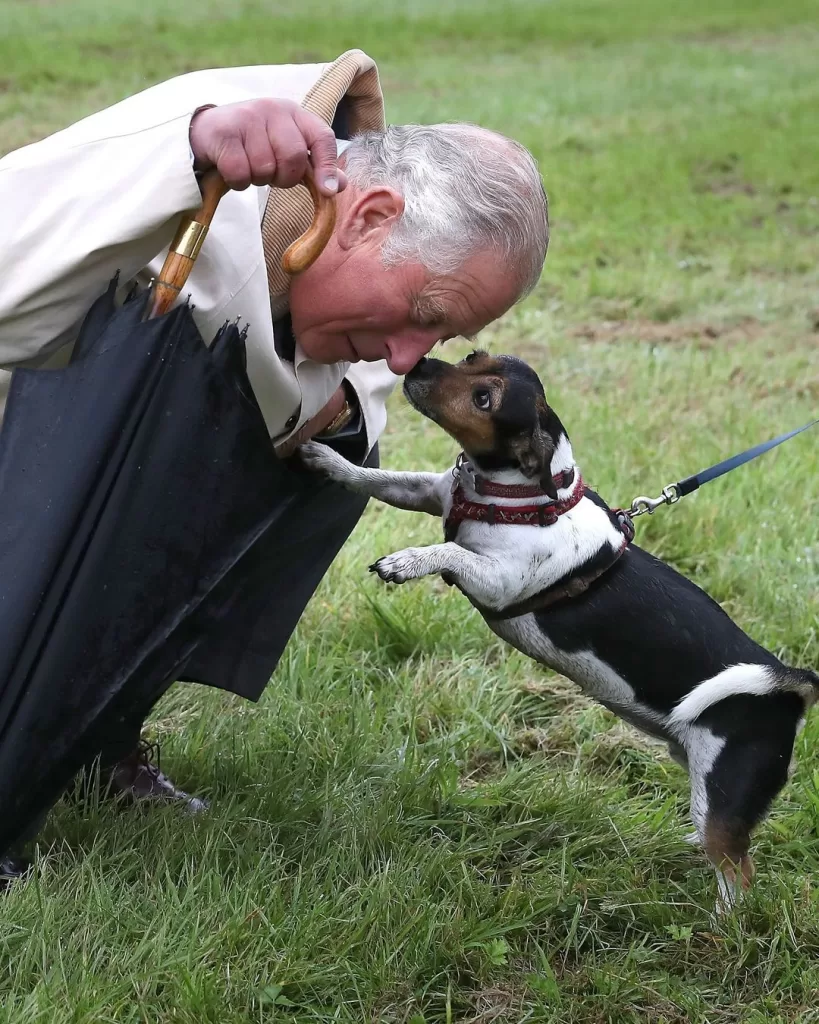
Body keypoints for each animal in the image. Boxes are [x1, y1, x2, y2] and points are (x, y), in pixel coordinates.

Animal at [300, 354, 818, 913]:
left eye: (484, 398)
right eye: (473, 358)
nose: (418, 364)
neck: (515, 493)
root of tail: (790, 683)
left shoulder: (498, 581)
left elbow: (451, 551)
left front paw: (407, 560)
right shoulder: (426, 492)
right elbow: (378, 479)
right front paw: (329, 459)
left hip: (724, 796)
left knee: (739, 873)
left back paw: (721, 925)